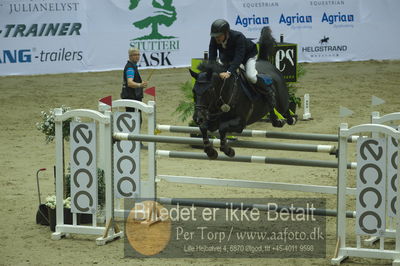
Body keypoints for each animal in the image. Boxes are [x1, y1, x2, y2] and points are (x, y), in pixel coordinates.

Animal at [189, 26, 296, 159]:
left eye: (209, 90)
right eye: (194, 91)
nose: (197, 118)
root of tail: (267, 63)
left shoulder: (240, 123)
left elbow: (222, 128)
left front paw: (228, 150)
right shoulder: (211, 121)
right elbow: (203, 128)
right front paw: (210, 151)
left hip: (282, 102)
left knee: (285, 109)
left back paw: (289, 119)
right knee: (272, 108)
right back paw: (276, 121)